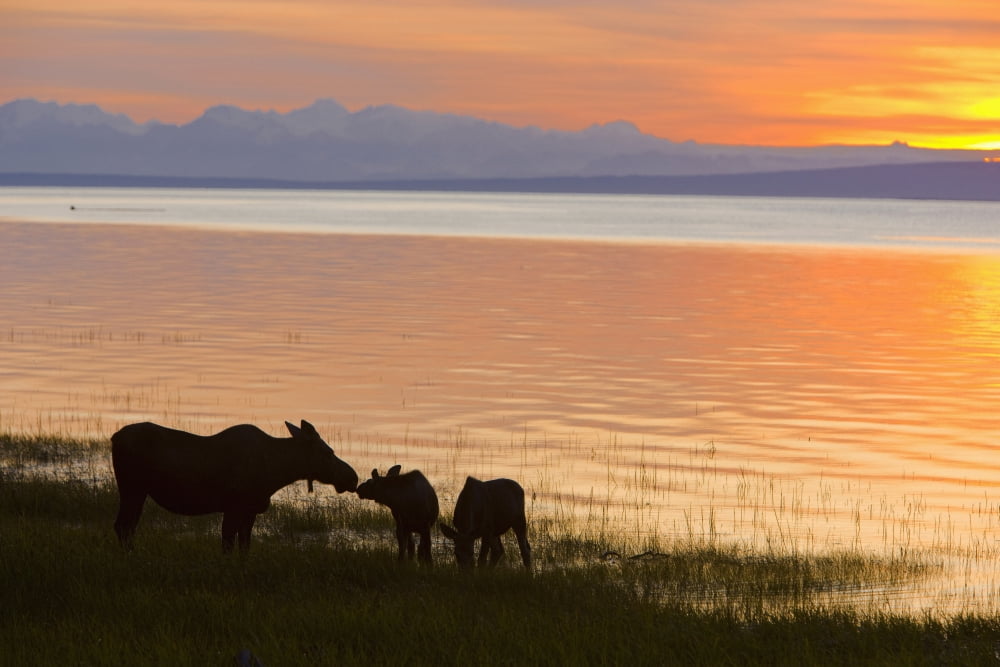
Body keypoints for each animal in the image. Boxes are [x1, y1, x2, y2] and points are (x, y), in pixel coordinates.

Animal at [110, 420, 358, 552]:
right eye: (327, 452)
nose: (353, 477)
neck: (277, 472)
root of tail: (114, 438)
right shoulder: (233, 508)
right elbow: (228, 544)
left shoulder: (249, 512)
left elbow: (244, 546)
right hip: (132, 488)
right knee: (123, 526)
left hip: (136, 491)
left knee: (127, 526)